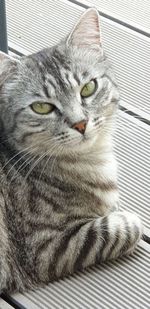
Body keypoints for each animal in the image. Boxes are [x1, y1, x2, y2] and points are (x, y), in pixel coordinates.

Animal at [0, 7, 142, 292]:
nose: (80, 123)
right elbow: (122, 227)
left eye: (88, 88)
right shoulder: (44, 248)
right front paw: (130, 219)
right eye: (42, 107)